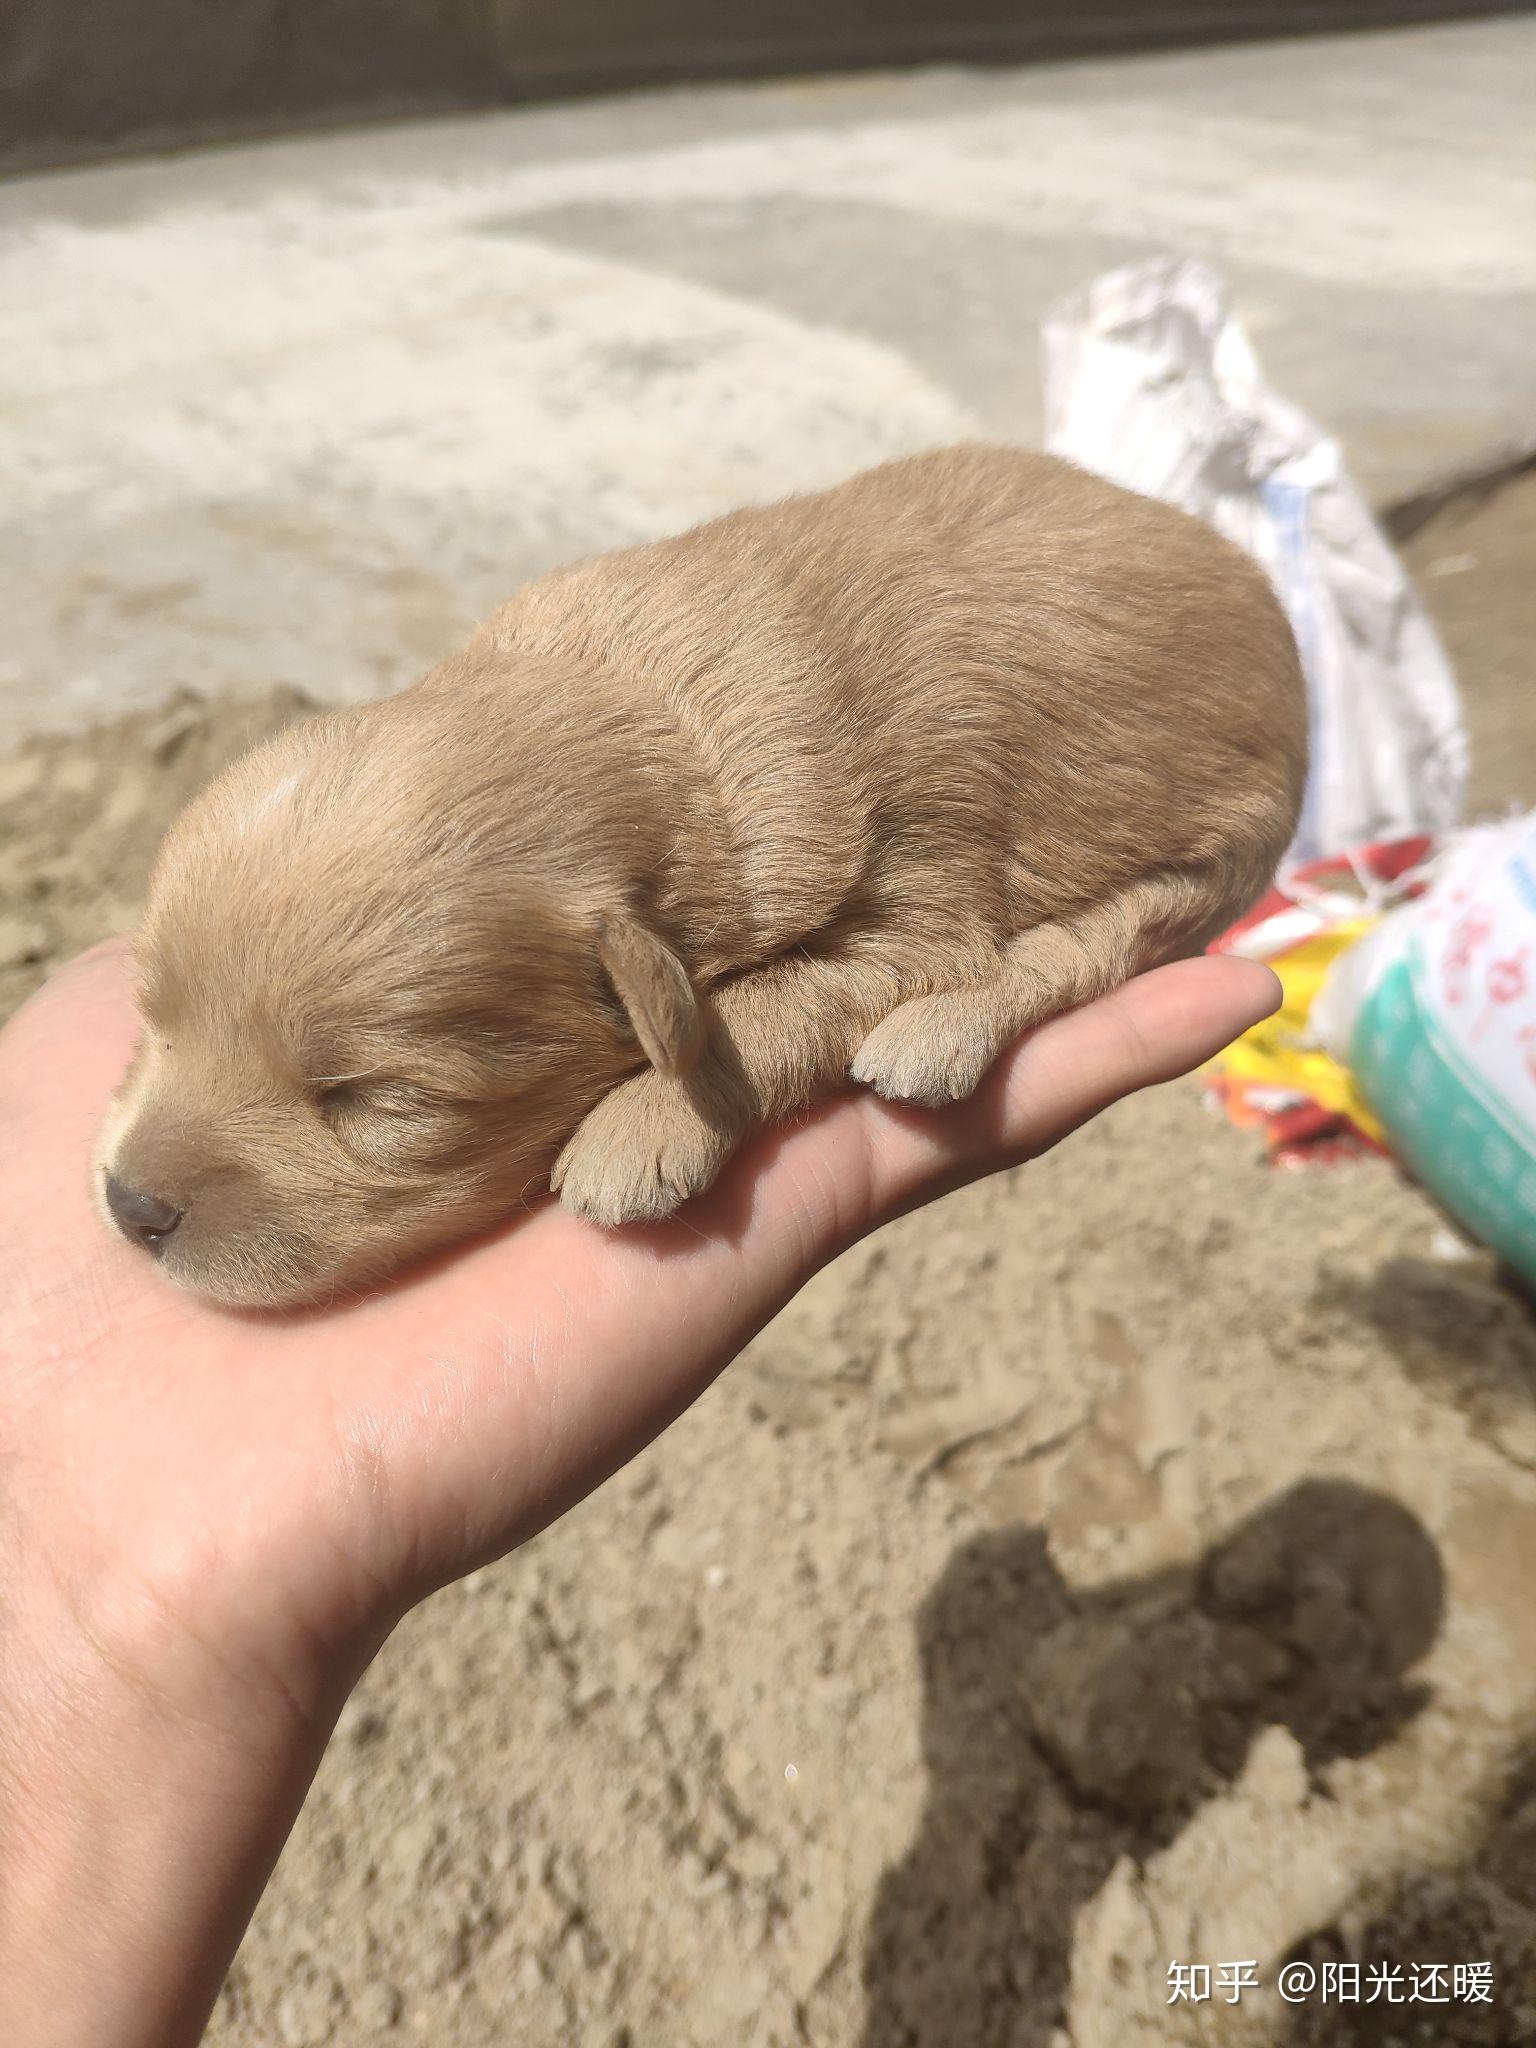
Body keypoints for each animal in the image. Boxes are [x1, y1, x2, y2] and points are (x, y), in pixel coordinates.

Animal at [96, 450, 1302, 1310]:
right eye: (151, 1016)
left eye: (374, 1101)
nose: (130, 1205)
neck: (635, 698)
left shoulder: (919, 895)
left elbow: (777, 1001)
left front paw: (644, 1124)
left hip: (1221, 843)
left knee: (1085, 945)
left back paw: (938, 1036)